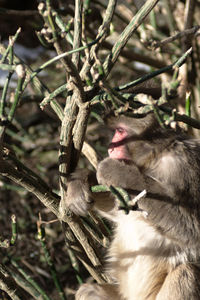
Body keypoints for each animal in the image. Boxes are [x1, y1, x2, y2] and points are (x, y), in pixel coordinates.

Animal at [62, 113, 200, 300]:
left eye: (120, 131)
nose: (110, 147)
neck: (154, 159)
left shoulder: (186, 166)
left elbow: (193, 229)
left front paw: (116, 171)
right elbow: (120, 209)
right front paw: (79, 183)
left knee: (186, 273)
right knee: (87, 292)